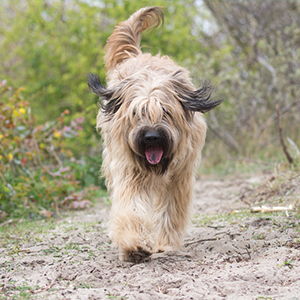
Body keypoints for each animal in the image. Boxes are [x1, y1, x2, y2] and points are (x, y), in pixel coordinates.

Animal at [88, 5, 221, 262]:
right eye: (136, 113)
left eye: (166, 111)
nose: (151, 137)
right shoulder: (129, 170)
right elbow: (131, 206)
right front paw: (134, 245)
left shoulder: (180, 176)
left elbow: (170, 209)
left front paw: (165, 244)